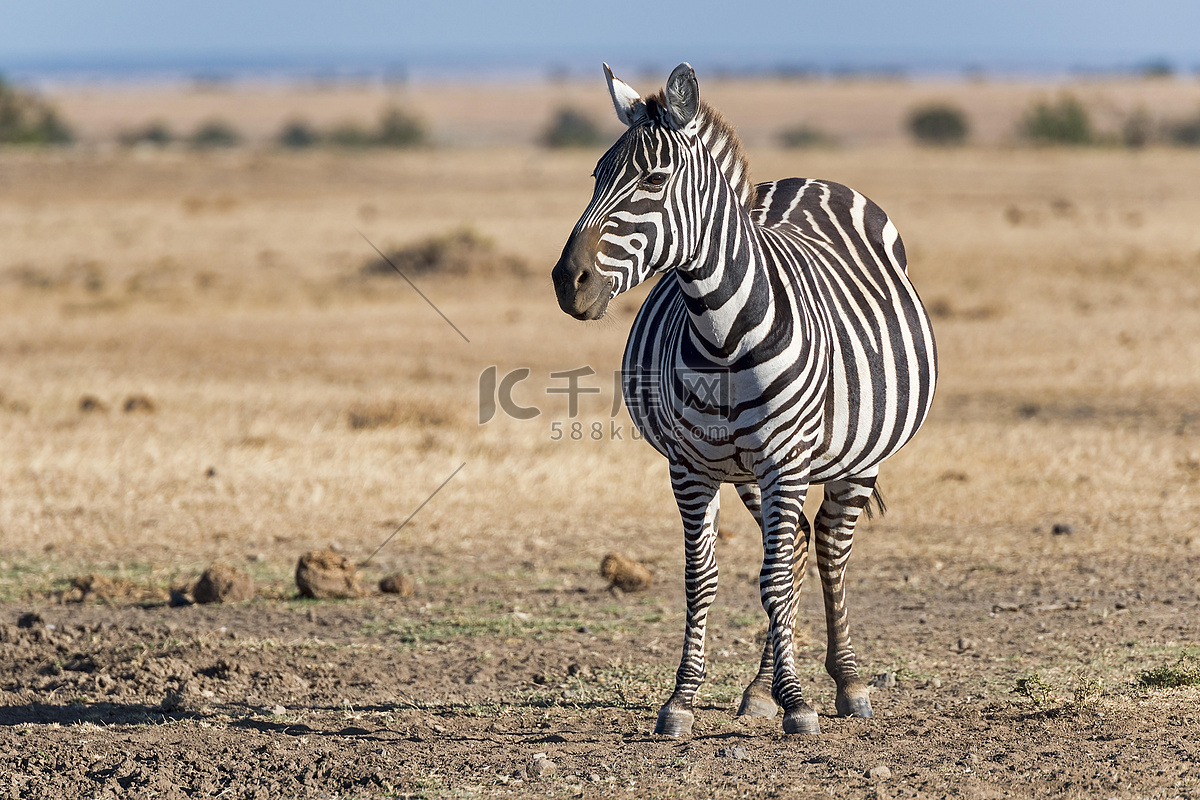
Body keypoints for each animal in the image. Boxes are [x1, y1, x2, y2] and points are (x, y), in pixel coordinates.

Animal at [551, 63, 937, 736]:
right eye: (596, 175)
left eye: (653, 180)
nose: (566, 282)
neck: (721, 335)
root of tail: (808, 181)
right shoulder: (690, 467)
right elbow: (701, 578)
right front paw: (683, 699)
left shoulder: (785, 460)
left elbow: (773, 578)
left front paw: (799, 702)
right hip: (750, 472)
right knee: (798, 546)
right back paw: (760, 690)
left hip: (858, 456)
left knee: (826, 546)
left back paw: (846, 683)